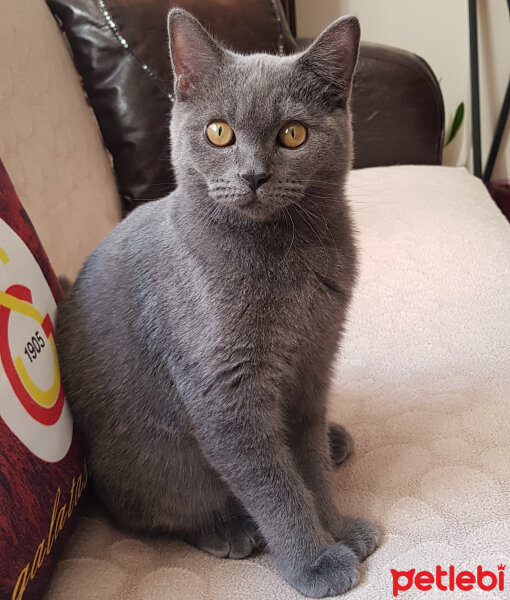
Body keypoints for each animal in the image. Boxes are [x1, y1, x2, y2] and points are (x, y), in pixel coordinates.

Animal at [57, 8, 378, 596]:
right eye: (219, 132)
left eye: (293, 134)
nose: (253, 175)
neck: (285, 255)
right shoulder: (225, 393)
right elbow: (277, 487)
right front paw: (317, 560)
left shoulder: (314, 362)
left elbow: (308, 465)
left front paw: (338, 525)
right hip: (152, 468)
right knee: (147, 514)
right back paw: (228, 530)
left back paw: (335, 440)